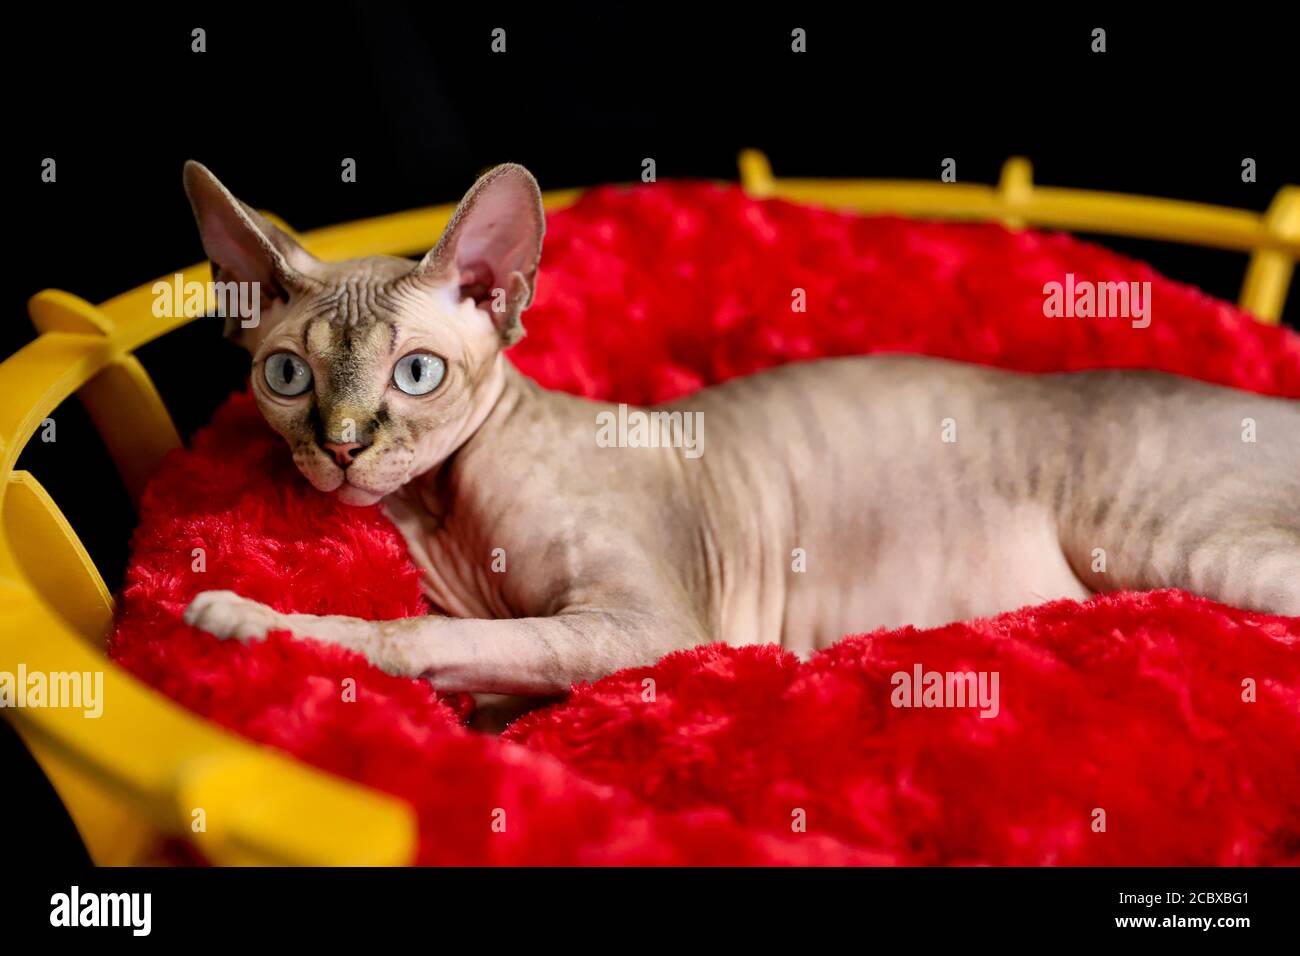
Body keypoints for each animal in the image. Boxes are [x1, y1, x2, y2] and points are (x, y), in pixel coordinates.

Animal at [180, 160, 1300, 723]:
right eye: (288, 375)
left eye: (416, 372)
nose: (342, 446)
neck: (444, 513)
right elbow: (474, 665)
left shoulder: (649, 628)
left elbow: (415, 636)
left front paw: (251, 619)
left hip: (1174, 544)